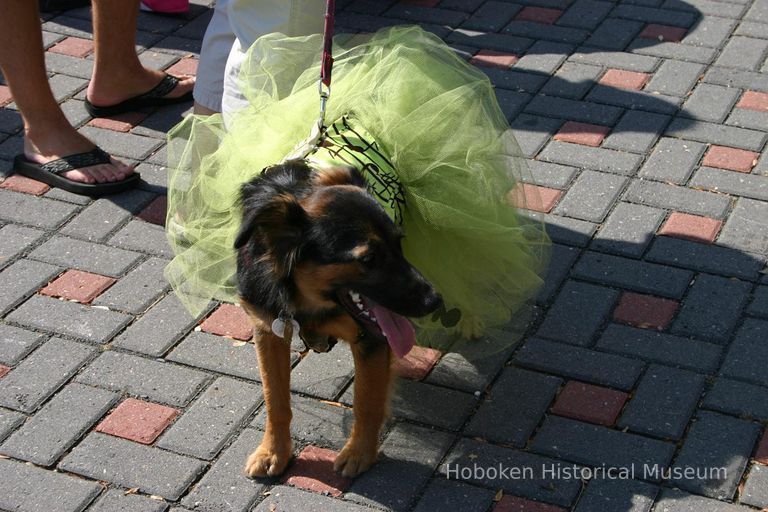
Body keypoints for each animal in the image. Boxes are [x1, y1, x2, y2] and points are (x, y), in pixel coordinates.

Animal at [234, 158, 440, 478]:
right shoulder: (268, 331)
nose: (434, 300)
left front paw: (359, 453)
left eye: (399, 244)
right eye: (368, 259)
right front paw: (273, 452)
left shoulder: (372, 339)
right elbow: (274, 399)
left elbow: (366, 402)